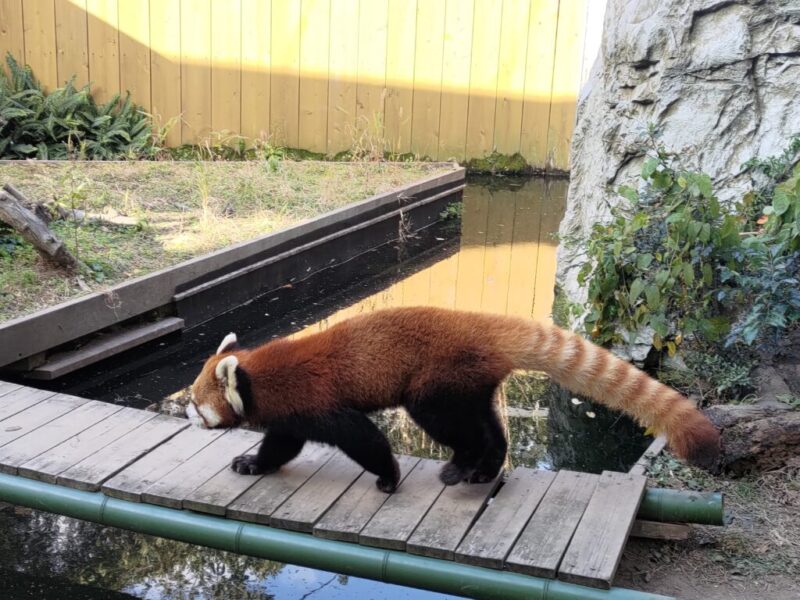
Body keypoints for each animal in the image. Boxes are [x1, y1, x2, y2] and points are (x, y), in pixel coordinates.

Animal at [191, 308, 720, 494]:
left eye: (195, 406)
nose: (190, 419)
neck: (260, 374)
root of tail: (481, 324)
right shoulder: (290, 414)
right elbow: (281, 444)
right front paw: (252, 464)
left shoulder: (316, 402)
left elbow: (362, 438)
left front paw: (389, 476)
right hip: (469, 385)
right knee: (490, 426)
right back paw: (485, 468)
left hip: (436, 382)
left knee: (456, 427)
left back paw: (464, 464)